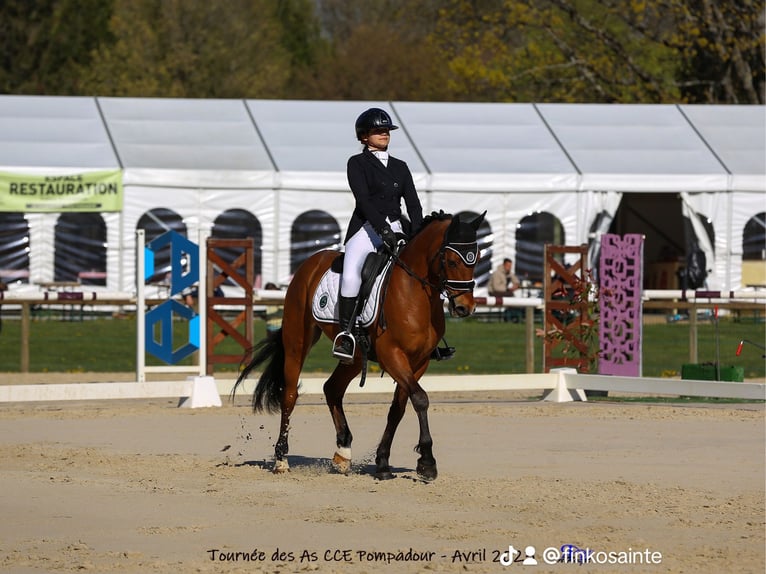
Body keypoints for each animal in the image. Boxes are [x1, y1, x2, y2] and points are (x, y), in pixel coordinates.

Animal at [232, 212, 486, 482]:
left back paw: (343, 454)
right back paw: (281, 460)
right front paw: (427, 462)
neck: (415, 292)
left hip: (354, 356)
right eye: (450, 260)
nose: (465, 307)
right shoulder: (392, 355)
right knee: (289, 394)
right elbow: (420, 399)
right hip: (297, 341)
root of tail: (311, 262)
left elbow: (398, 408)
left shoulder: (419, 362)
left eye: (477, 257)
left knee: (332, 388)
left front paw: (383, 463)